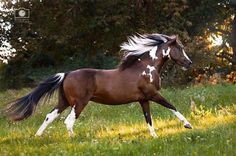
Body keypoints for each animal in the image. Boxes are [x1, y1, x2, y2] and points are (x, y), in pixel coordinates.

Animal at [6, 33, 193, 137]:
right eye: (180, 48)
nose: (189, 63)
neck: (146, 67)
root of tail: (66, 74)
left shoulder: (143, 99)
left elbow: (149, 119)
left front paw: (154, 136)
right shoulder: (153, 95)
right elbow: (172, 106)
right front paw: (188, 125)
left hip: (64, 101)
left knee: (49, 116)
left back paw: (38, 136)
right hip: (79, 102)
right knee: (68, 121)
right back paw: (74, 139)